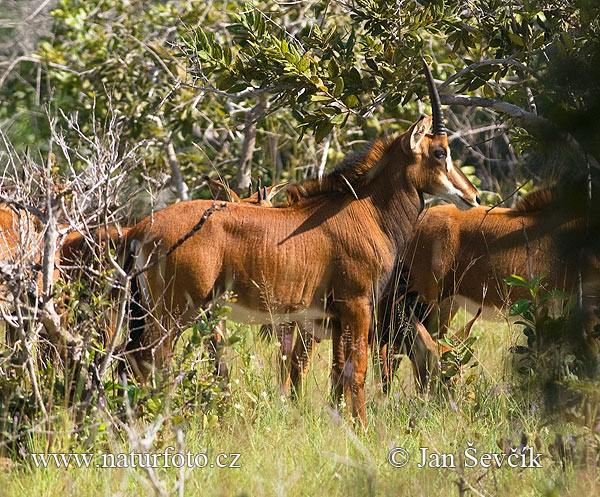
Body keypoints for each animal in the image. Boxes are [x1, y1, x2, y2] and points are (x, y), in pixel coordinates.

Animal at [122, 63, 478, 422]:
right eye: (440, 152)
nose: (473, 196)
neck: (365, 208)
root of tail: (139, 230)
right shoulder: (357, 304)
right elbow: (357, 370)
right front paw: (361, 426)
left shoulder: (333, 317)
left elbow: (338, 372)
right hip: (176, 310)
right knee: (152, 357)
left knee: (133, 357)